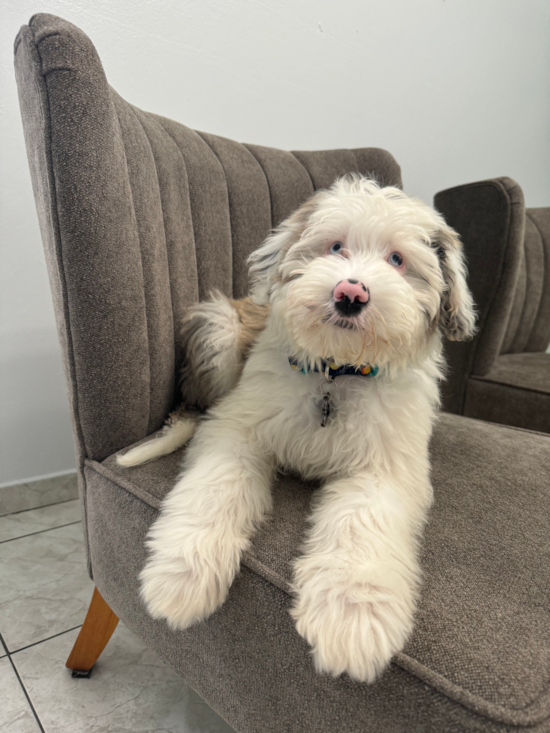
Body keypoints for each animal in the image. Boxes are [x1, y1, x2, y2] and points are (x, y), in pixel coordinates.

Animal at [118, 176, 476, 680]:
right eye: (335, 246)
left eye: (398, 260)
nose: (350, 294)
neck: (335, 373)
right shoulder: (238, 427)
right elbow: (215, 487)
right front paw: (181, 576)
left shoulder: (385, 465)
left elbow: (361, 522)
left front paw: (351, 617)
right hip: (220, 329)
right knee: (194, 407)